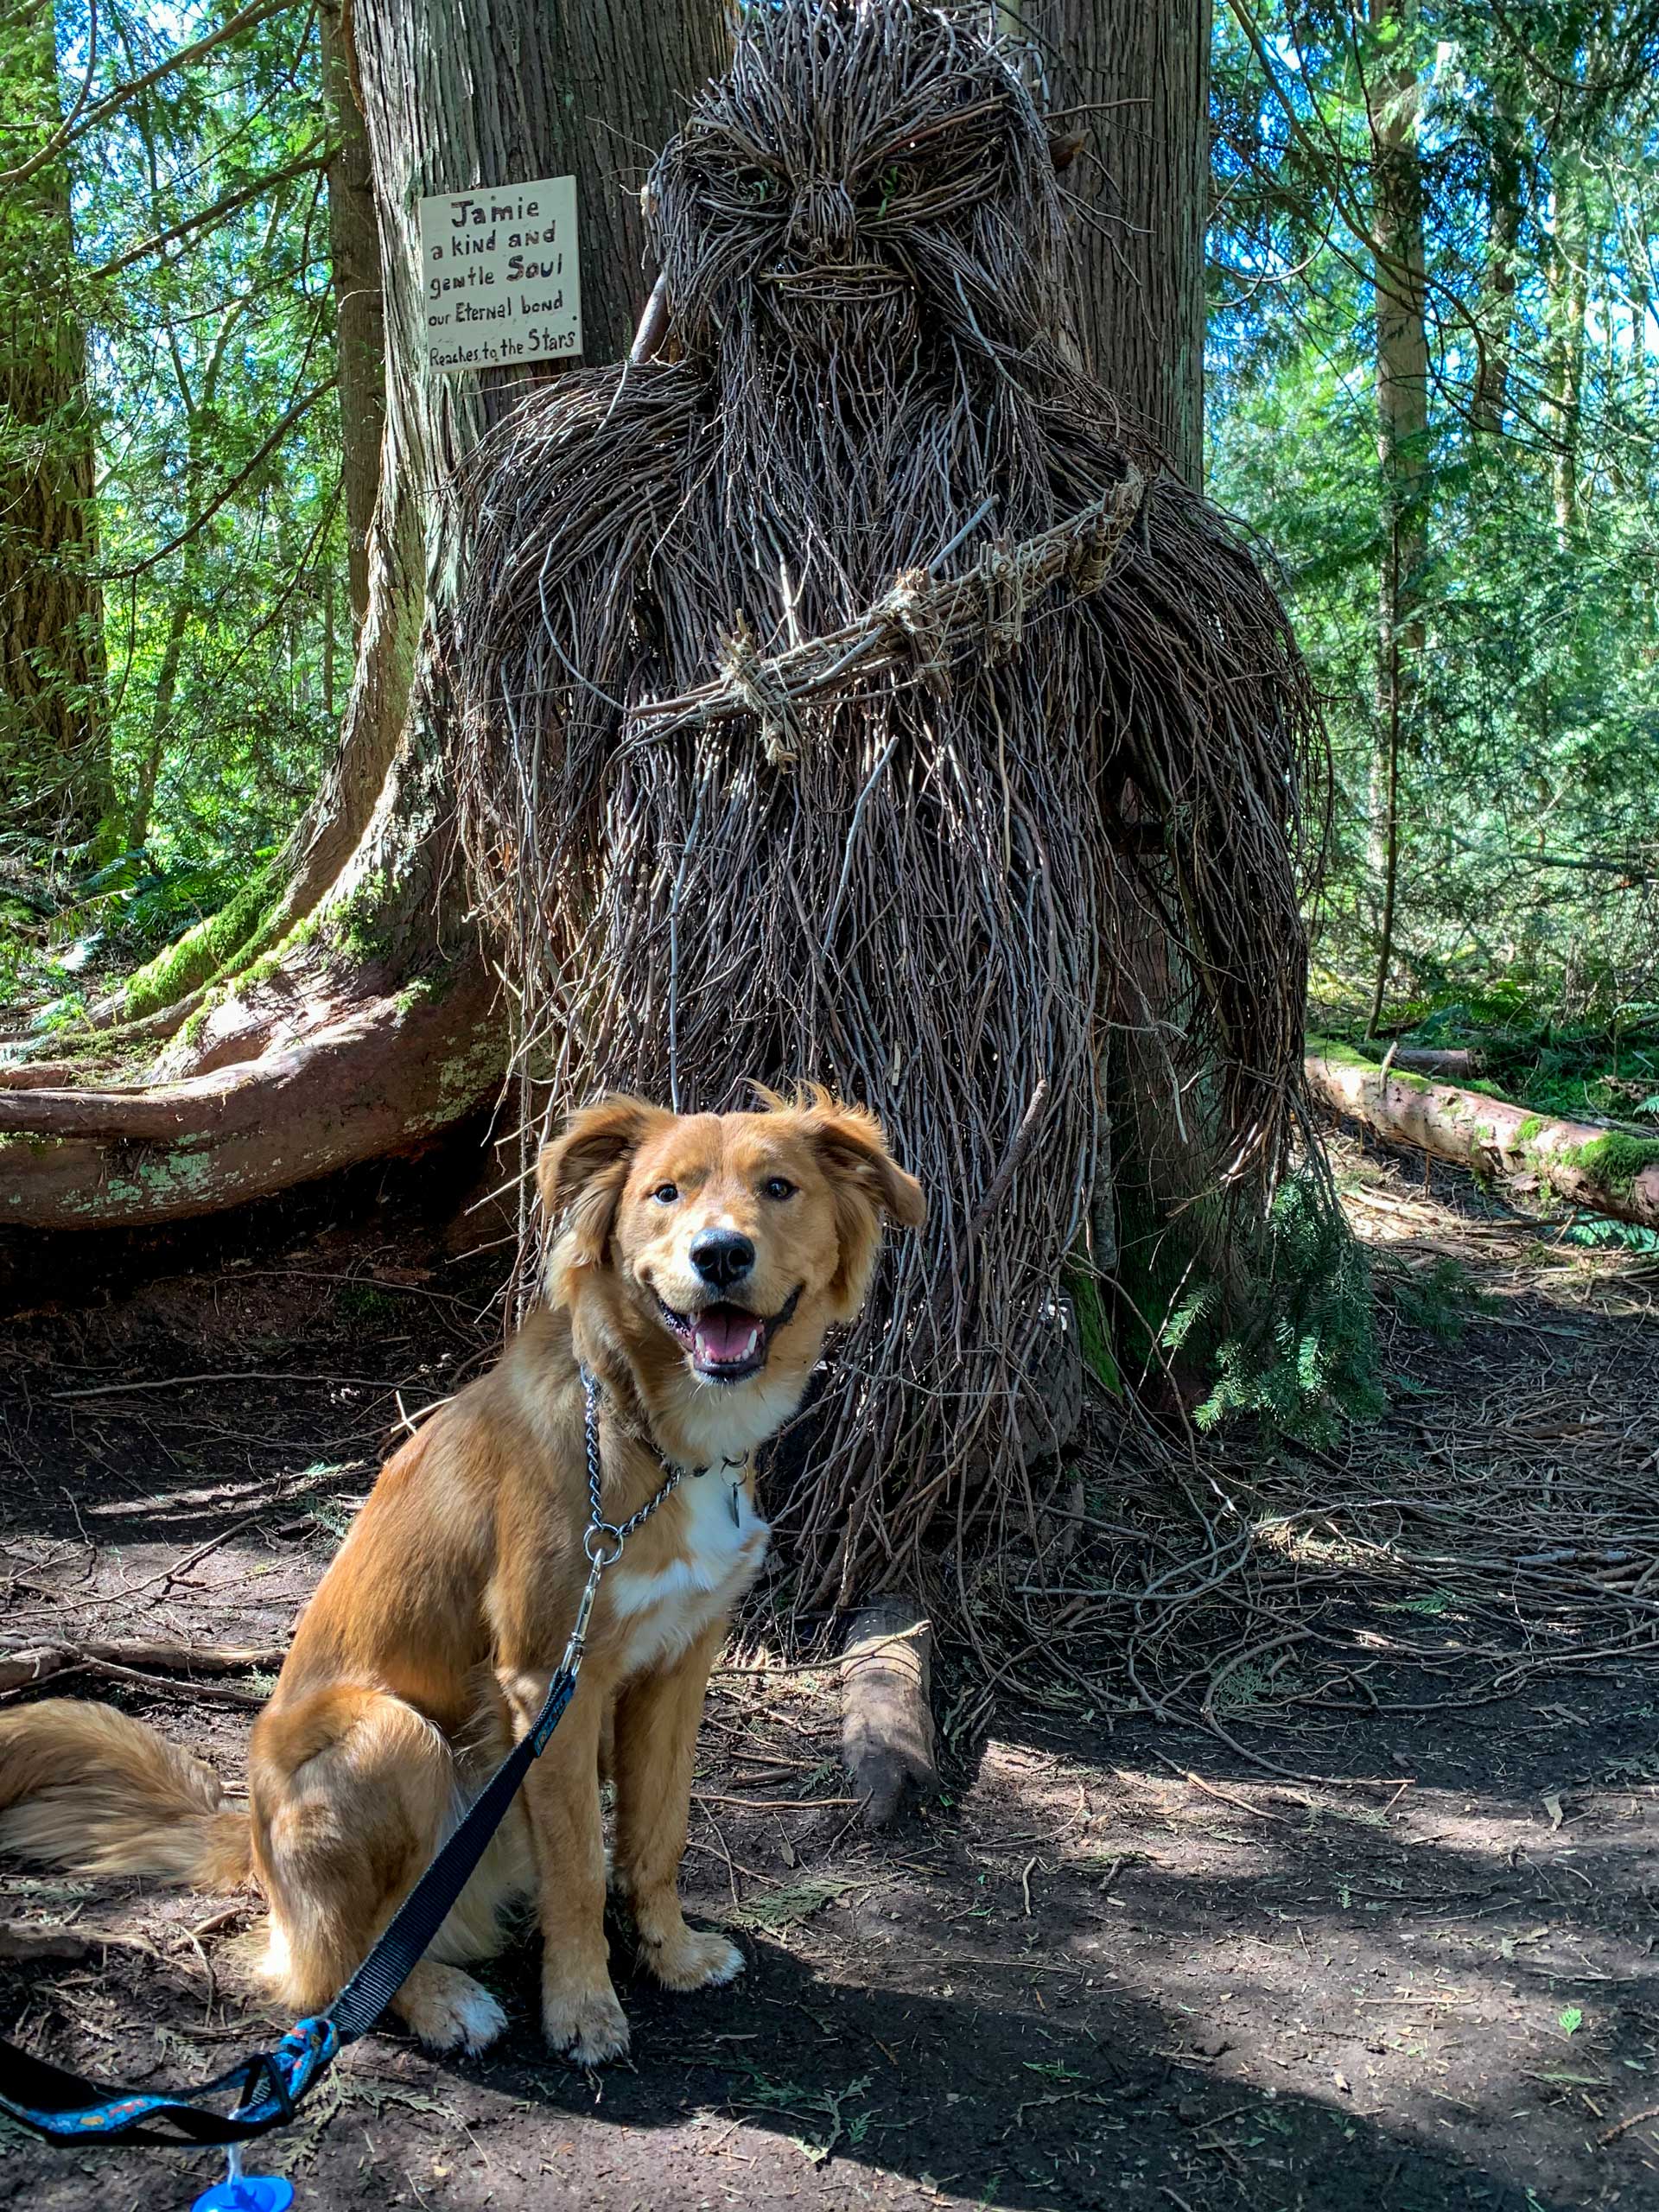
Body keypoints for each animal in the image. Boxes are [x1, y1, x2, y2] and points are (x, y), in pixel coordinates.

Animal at [0, 1084, 925, 2052]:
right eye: (665, 1193)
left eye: (779, 1187)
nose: (720, 1254)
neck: (653, 1436)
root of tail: (247, 1838)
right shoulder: (551, 1679)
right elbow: (579, 1866)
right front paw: (583, 2006)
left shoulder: (678, 1664)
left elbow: (656, 1835)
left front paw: (669, 1954)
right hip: (390, 1735)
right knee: (338, 1963)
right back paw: (438, 1998)